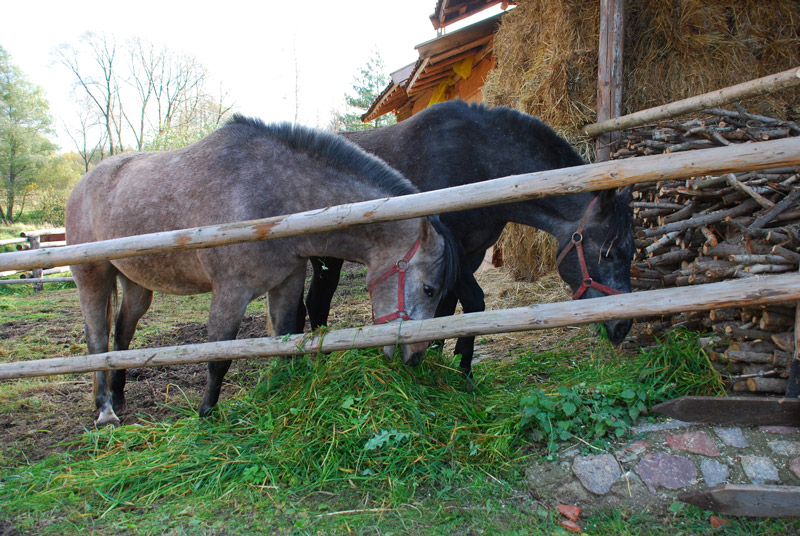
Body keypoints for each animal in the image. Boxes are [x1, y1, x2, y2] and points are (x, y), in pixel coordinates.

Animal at [65, 116, 460, 428]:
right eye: (429, 289)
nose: (415, 358)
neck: (272, 198)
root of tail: (82, 183)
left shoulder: (286, 284)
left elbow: (284, 341)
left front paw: (280, 393)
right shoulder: (230, 292)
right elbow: (219, 357)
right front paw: (207, 414)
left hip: (136, 284)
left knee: (122, 335)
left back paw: (119, 398)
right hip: (92, 277)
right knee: (97, 341)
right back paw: (105, 411)